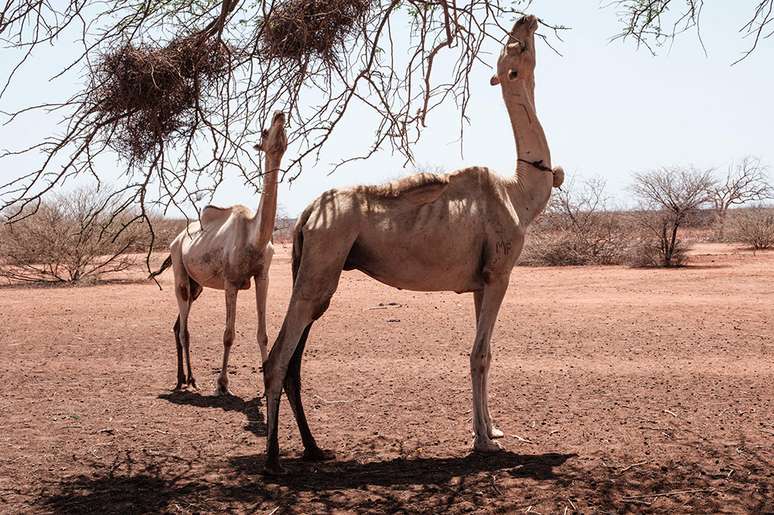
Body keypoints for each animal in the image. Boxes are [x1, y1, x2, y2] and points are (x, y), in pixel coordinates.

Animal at [149, 112, 288, 396]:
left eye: (285, 130)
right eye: (265, 131)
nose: (279, 114)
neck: (254, 237)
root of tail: (176, 239)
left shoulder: (263, 277)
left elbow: (263, 333)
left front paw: (266, 385)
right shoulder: (231, 282)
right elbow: (228, 334)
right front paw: (223, 384)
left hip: (197, 285)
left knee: (178, 325)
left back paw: (183, 378)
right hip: (180, 268)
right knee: (185, 329)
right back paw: (190, 381)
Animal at [260, 15, 564, 476]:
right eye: (515, 48)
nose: (524, 19)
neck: (520, 193)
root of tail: (307, 214)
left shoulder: (479, 283)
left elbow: (486, 353)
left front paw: (491, 430)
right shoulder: (500, 275)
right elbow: (479, 354)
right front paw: (482, 443)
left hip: (313, 266)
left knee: (294, 357)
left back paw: (314, 449)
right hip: (323, 259)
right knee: (279, 356)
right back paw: (274, 460)